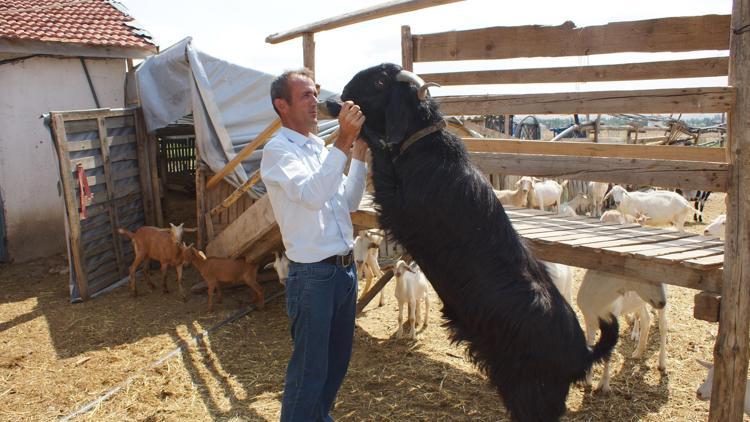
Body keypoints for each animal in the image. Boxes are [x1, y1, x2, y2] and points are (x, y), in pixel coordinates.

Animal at [324, 63, 624, 422]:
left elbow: (378, 147)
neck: (428, 149)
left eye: (381, 81)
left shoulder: (400, 204)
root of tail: (581, 354)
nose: (341, 93)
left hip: (533, 395)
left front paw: (346, 115)